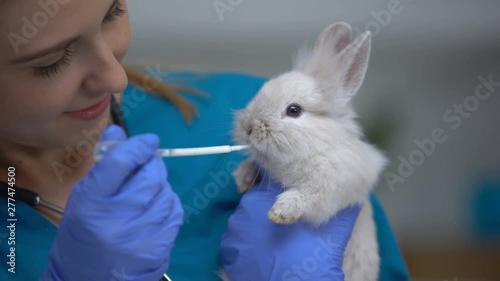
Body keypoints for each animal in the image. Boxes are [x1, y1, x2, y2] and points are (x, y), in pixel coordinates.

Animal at [222, 22, 386, 280]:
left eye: (294, 110)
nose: (248, 127)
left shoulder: (336, 181)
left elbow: (309, 196)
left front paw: (280, 212)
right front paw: (243, 179)